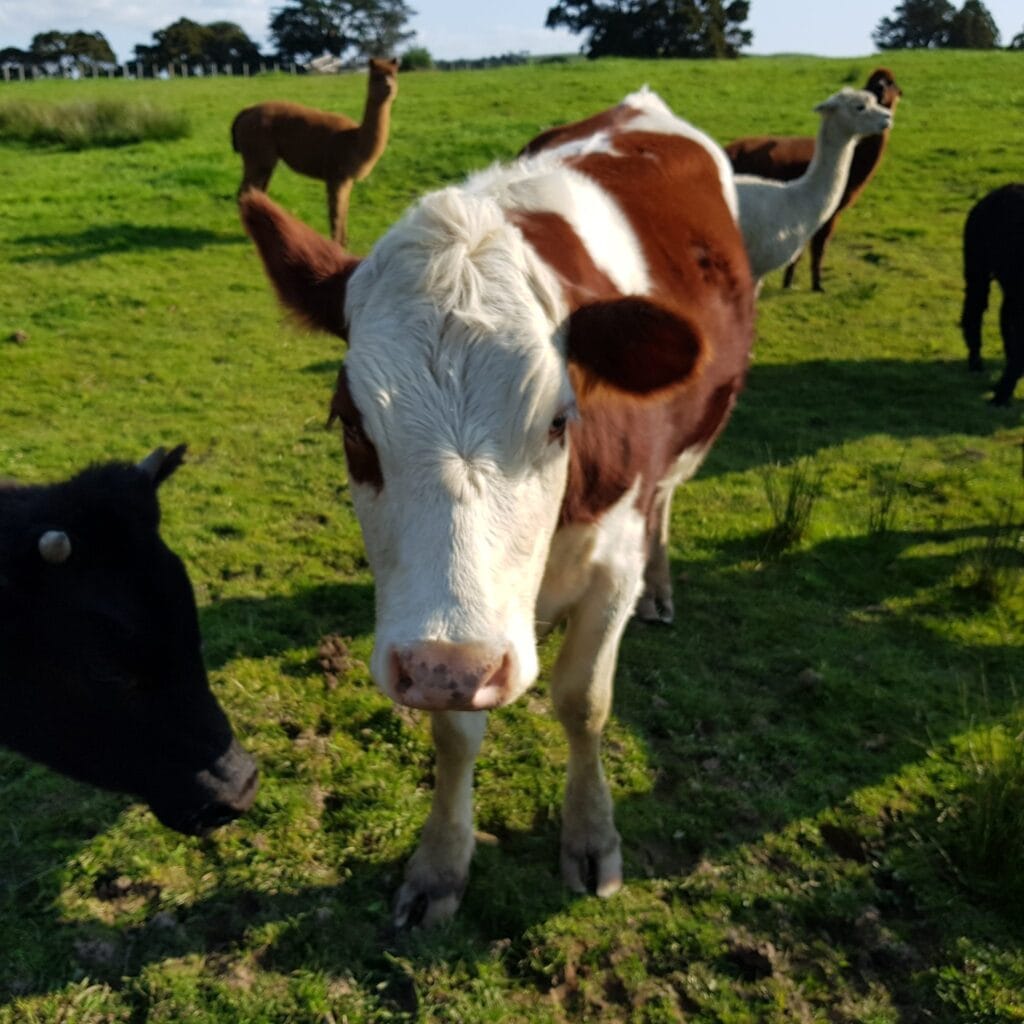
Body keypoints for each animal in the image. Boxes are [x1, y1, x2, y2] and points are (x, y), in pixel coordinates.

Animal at [242, 88, 755, 925]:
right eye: (351, 424)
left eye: (558, 421)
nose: (451, 663)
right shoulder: (443, 641)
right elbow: (455, 735)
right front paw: (440, 864)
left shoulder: (611, 568)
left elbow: (584, 702)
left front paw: (591, 835)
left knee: (667, 504)